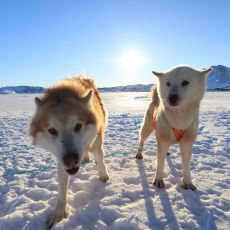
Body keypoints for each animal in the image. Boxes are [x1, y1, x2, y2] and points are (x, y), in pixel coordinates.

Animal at [29, 76, 109, 227]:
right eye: (52, 131)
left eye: (78, 126)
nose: (71, 160)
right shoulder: (61, 160)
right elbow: (61, 190)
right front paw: (59, 214)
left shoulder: (97, 141)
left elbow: (100, 159)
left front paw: (103, 175)